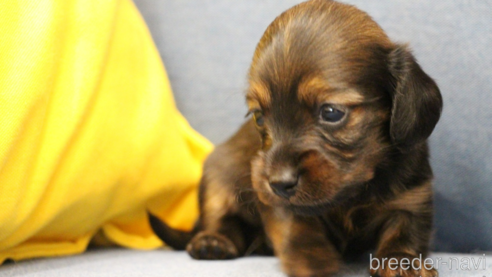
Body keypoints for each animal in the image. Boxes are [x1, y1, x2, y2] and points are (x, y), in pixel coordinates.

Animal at [150, 1, 442, 274]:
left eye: (332, 112)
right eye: (259, 117)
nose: (279, 183)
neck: (353, 192)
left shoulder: (412, 198)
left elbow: (405, 231)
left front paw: (402, 261)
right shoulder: (277, 203)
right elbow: (297, 228)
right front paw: (312, 260)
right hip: (217, 179)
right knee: (221, 219)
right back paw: (213, 241)